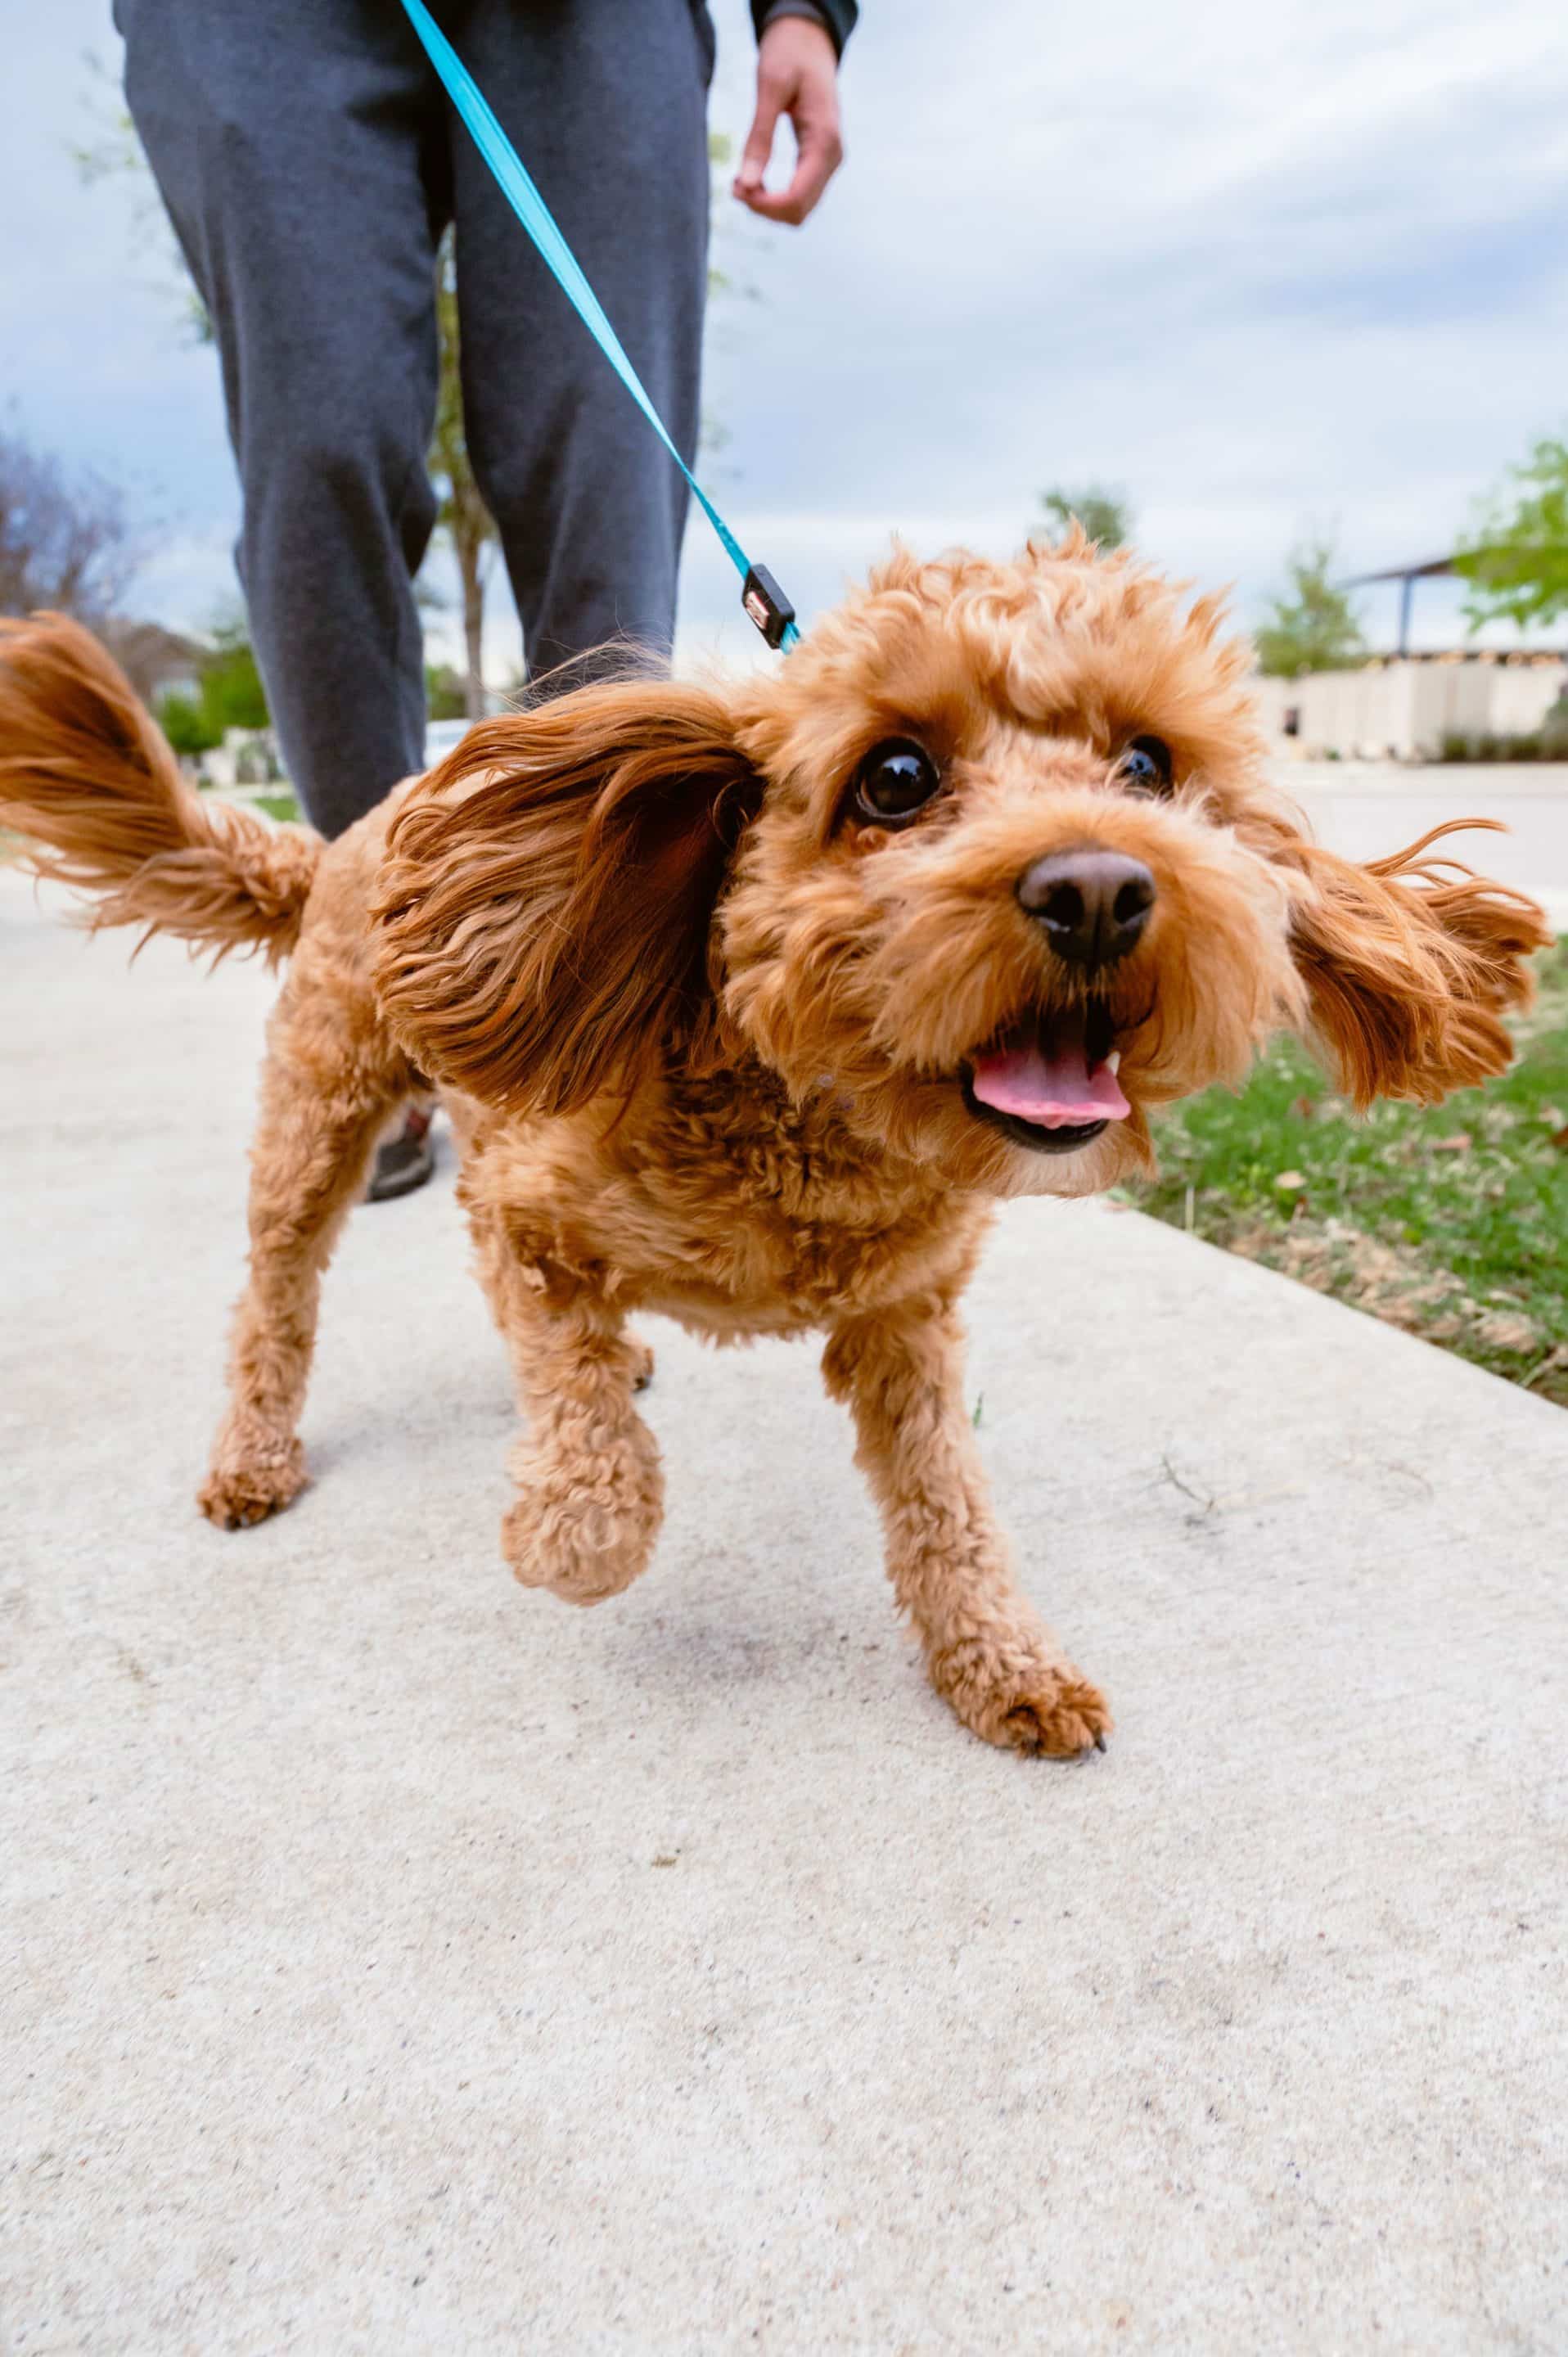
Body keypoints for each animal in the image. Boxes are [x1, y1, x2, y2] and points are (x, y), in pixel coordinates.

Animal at [0, 534, 1537, 1753]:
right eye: (896, 777)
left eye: (1150, 765)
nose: (1099, 890)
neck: (808, 1118)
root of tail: (351, 839)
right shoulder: (525, 1216)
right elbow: (589, 1461)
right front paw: (562, 1534)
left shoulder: (908, 1323)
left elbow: (949, 1508)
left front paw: (1004, 1665)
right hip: (316, 1120)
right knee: (277, 1298)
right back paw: (256, 1458)